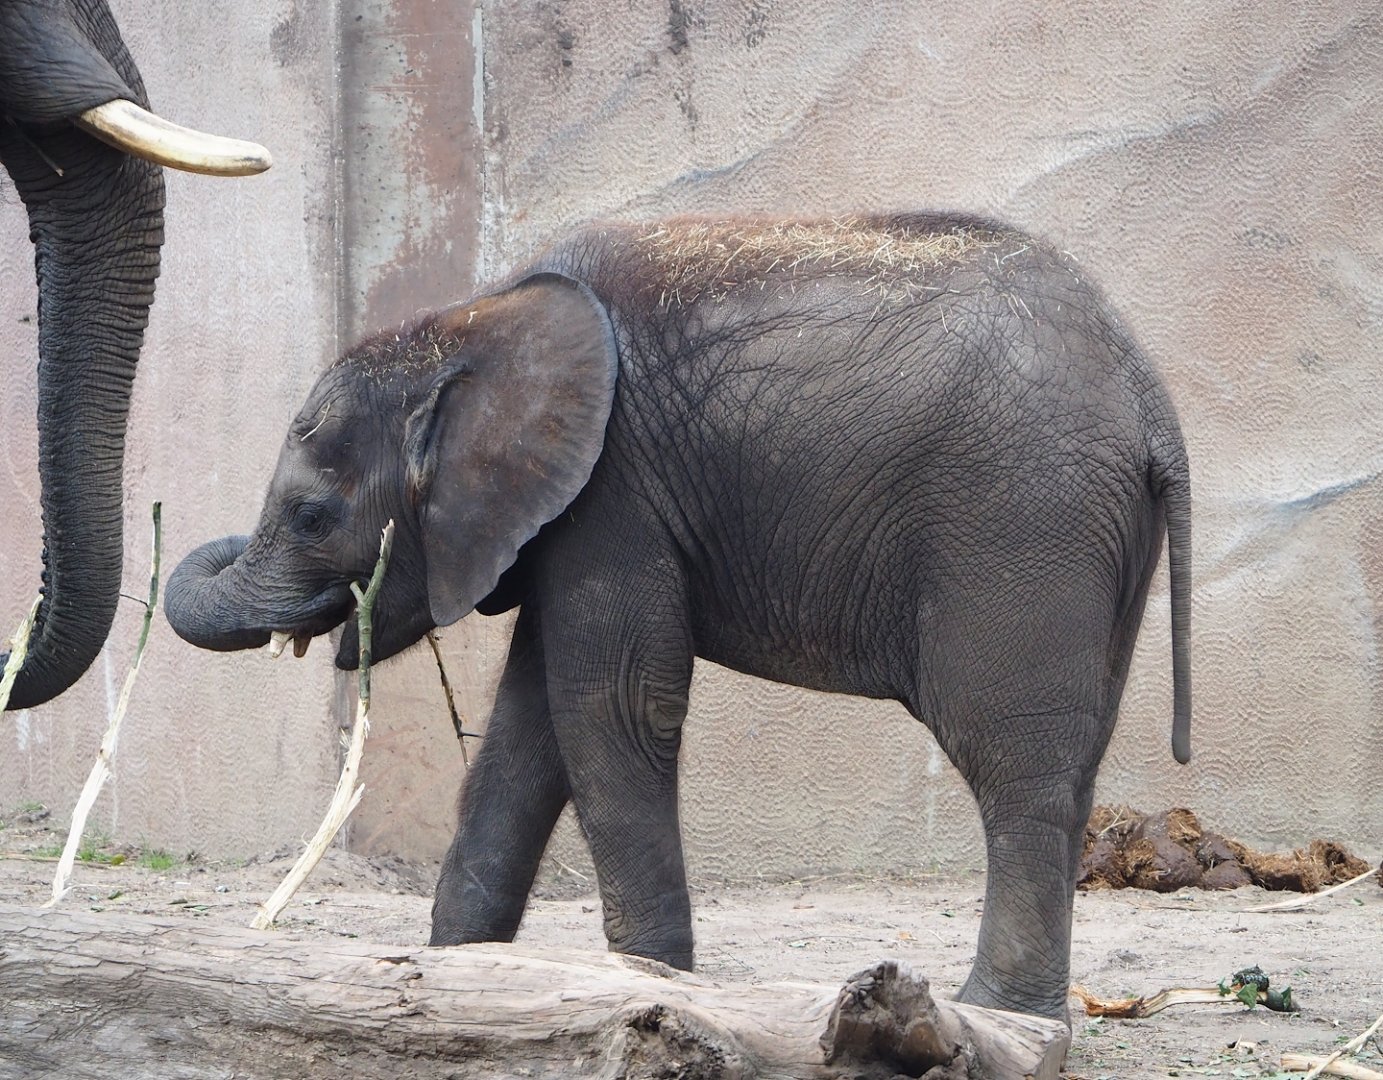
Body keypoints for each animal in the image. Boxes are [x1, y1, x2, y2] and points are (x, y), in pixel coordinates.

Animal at [165, 212, 1192, 1021]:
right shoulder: (570, 513)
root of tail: (1150, 399)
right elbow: (530, 729)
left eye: (310, 515)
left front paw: (646, 984)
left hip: (1022, 517)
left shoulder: (612, 491)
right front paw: (455, 974)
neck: (472, 320)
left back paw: (999, 1019)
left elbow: (613, 704)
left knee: (1014, 759)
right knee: (1075, 755)